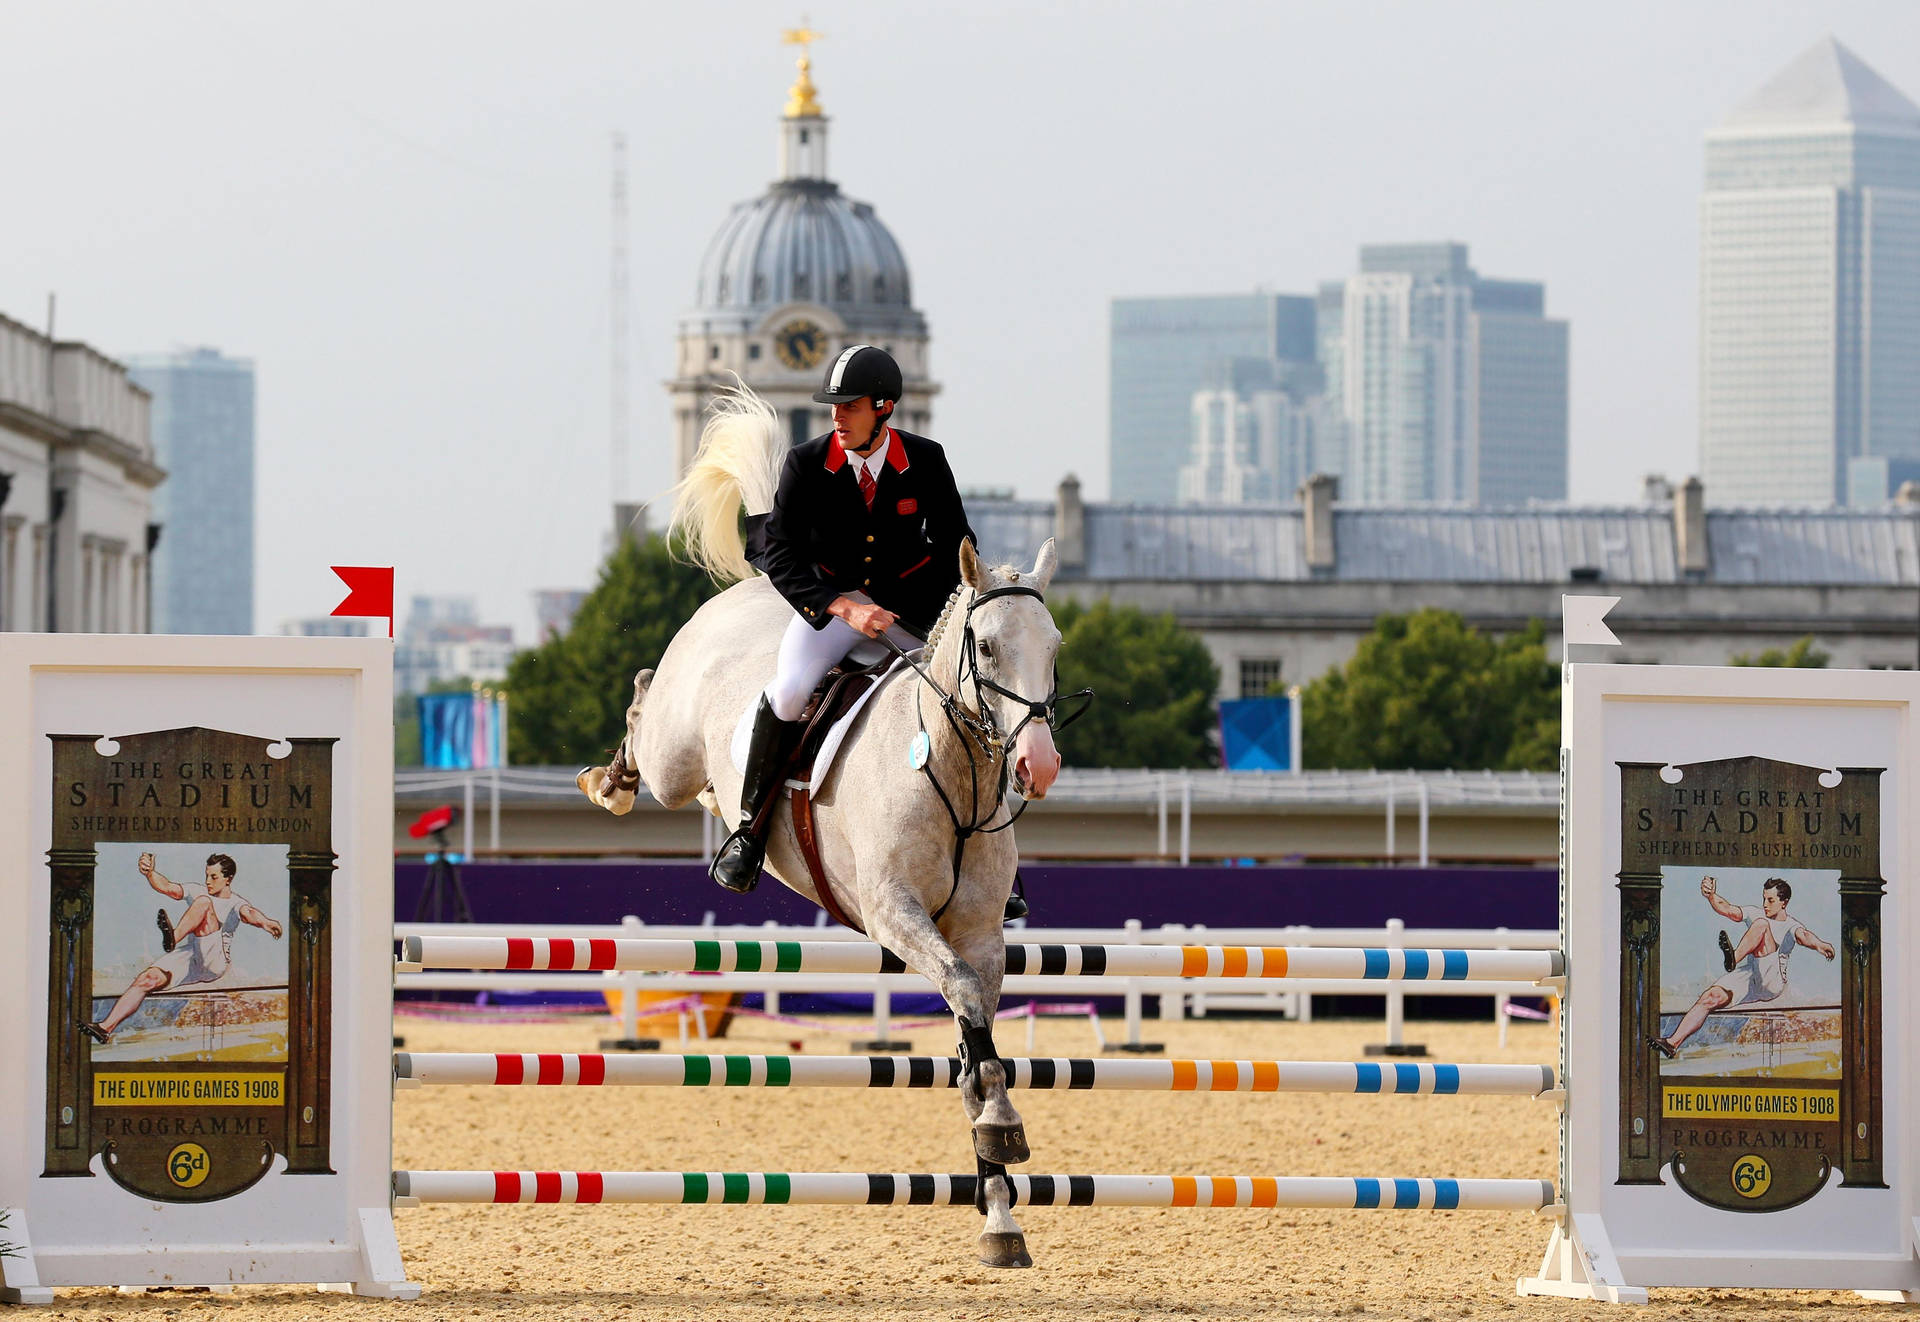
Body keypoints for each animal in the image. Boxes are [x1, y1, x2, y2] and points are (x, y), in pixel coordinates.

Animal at [576, 387, 1075, 1266]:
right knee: (647, 715)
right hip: (675, 754)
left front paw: (999, 1212)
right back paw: (620, 785)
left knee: (713, 783)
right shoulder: (894, 915)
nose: (1037, 764)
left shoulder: (981, 934)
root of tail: (750, 591)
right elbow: (961, 1001)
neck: (952, 773)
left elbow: (976, 1033)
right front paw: (1002, 1128)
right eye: (984, 646)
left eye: (1053, 647)